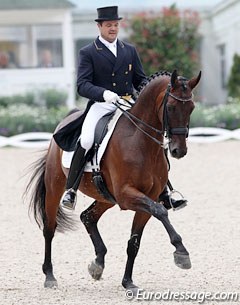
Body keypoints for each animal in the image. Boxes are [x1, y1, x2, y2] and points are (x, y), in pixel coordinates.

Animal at [26, 69, 201, 292]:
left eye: (191, 107)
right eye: (170, 107)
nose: (179, 151)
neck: (141, 142)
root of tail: (67, 119)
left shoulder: (147, 198)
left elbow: (134, 243)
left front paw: (128, 282)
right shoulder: (127, 195)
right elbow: (161, 212)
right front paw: (181, 252)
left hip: (105, 196)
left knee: (87, 217)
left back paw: (97, 264)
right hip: (55, 186)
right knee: (49, 228)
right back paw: (49, 276)